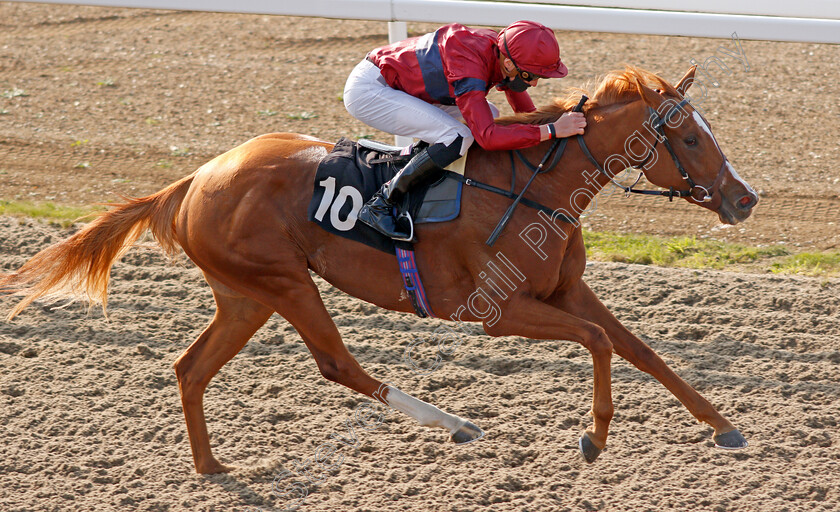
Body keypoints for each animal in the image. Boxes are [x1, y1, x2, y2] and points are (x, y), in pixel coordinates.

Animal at [0, 66, 756, 474]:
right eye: (689, 138)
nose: (744, 199)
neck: (534, 188)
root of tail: (194, 178)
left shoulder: (567, 289)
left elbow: (640, 349)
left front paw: (723, 425)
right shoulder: (496, 313)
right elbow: (599, 343)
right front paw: (593, 437)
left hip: (245, 294)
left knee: (190, 368)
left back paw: (211, 466)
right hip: (285, 282)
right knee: (338, 364)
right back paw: (457, 423)